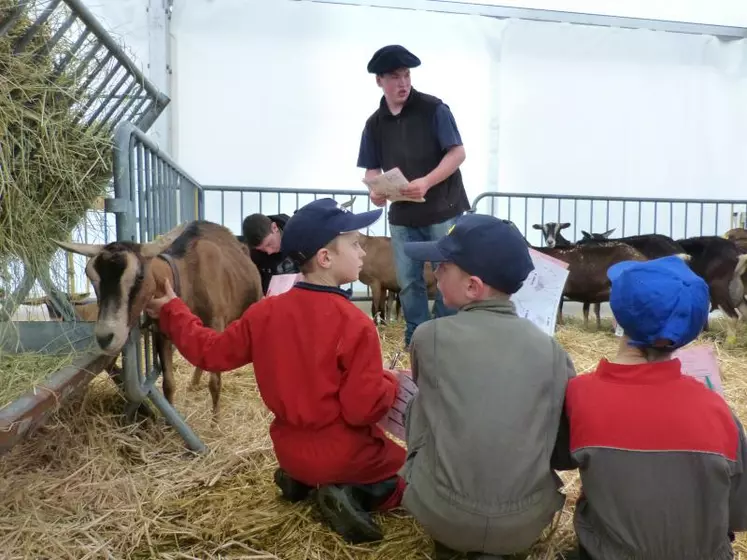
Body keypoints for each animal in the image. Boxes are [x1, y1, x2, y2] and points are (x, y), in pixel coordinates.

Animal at [54, 219, 262, 416]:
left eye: (139, 277)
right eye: (91, 278)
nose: (105, 338)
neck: (187, 276)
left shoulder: (216, 323)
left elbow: (215, 382)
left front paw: (215, 422)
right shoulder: (162, 334)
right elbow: (168, 383)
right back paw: (193, 383)